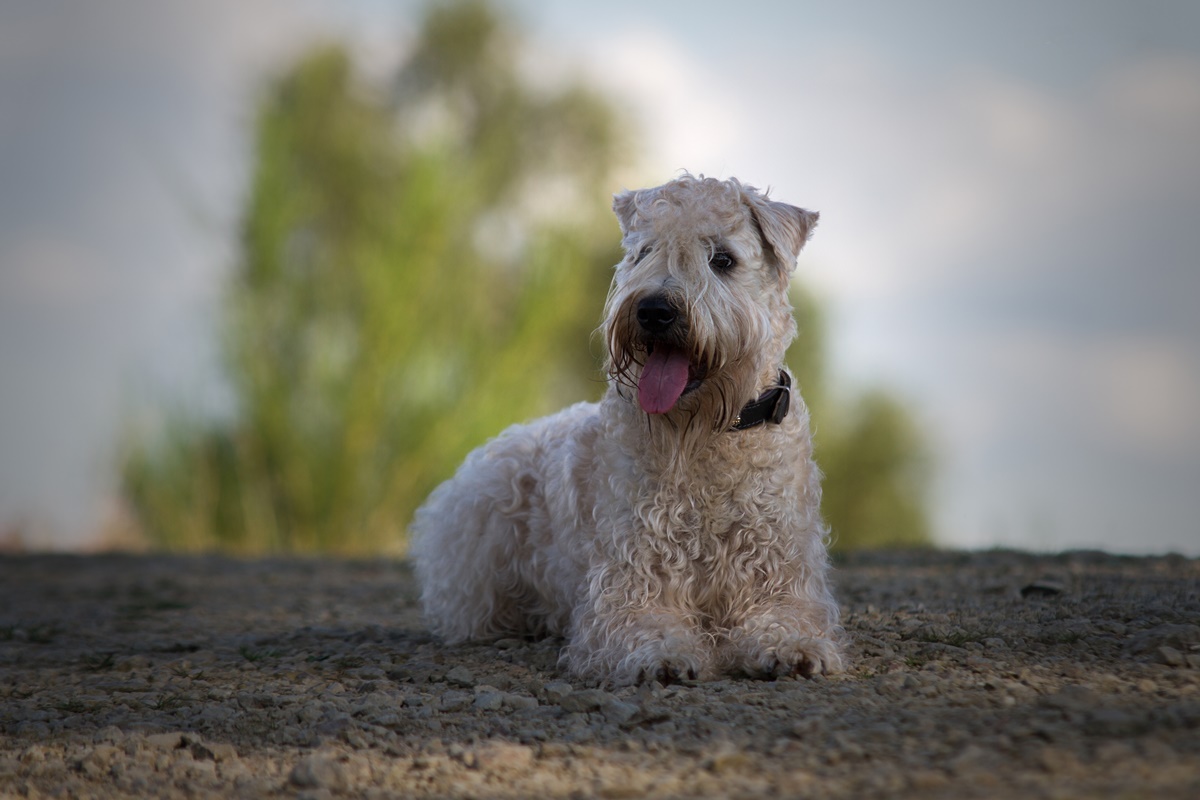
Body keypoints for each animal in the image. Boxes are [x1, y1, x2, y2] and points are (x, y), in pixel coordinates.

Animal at [412, 176, 844, 690]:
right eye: (644, 252)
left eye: (722, 259)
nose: (654, 310)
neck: (709, 436)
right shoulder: (630, 577)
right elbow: (643, 622)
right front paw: (662, 656)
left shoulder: (779, 571)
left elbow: (787, 615)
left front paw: (793, 648)